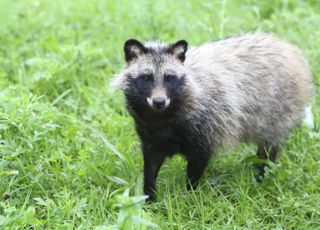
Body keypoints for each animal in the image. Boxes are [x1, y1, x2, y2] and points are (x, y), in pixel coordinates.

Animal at [111, 31, 314, 201]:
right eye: (146, 77)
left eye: (170, 78)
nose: (159, 101)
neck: (162, 117)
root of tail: (291, 51)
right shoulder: (150, 133)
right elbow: (150, 165)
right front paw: (149, 196)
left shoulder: (207, 125)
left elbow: (197, 164)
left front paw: (190, 195)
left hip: (277, 108)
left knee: (268, 146)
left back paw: (262, 174)